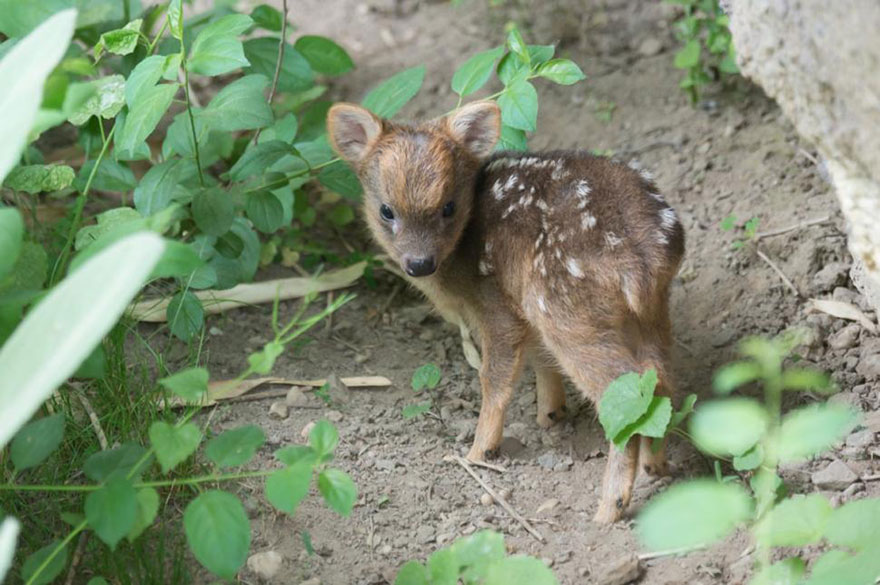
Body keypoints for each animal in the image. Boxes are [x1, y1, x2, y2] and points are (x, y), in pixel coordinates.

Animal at [326, 99, 684, 520]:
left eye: (449, 207)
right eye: (386, 211)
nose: (419, 263)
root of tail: (645, 262)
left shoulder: (497, 305)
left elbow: (493, 378)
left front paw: (479, 451)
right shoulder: (523, 308)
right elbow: (541, 361)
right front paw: (550, 415)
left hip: (565, 310)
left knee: (625, 390)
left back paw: (609, 508)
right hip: (649, 311)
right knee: (661, 378)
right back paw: (655, 466)